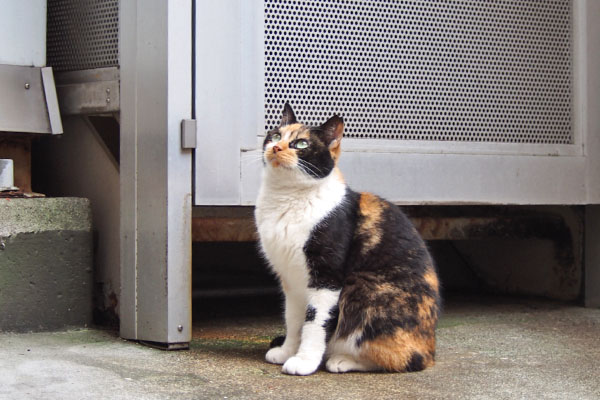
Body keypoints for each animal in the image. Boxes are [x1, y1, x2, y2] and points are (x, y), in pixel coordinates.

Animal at [253, 103, 440, 376]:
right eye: (276, 135)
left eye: (301, 144)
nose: (276, 147)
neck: (287, 197)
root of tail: (431, 347)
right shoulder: (292, 281)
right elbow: (293, 319)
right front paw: (287, 351)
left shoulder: (326, 277)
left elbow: (314, 322)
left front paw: (305, 361)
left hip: (362, 288)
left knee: (406, 359)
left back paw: (341, 360)